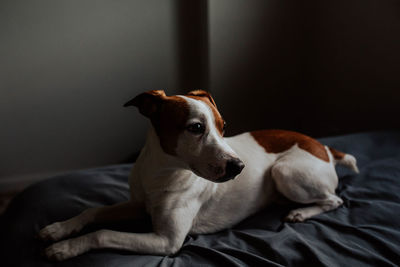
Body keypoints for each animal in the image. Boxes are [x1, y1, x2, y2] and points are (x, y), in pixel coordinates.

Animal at [38, 90, 360, 262]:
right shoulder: (139, 205)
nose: (239, 167)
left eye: (223, 126)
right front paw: (60, 229)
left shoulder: (167, 241)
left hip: (286, 173)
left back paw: (300, 213)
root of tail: (322, 145)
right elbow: (93, 211)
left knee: (335, 200)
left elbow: (103, 233)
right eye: (195, 128)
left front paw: (65, 248)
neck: (161, 173)